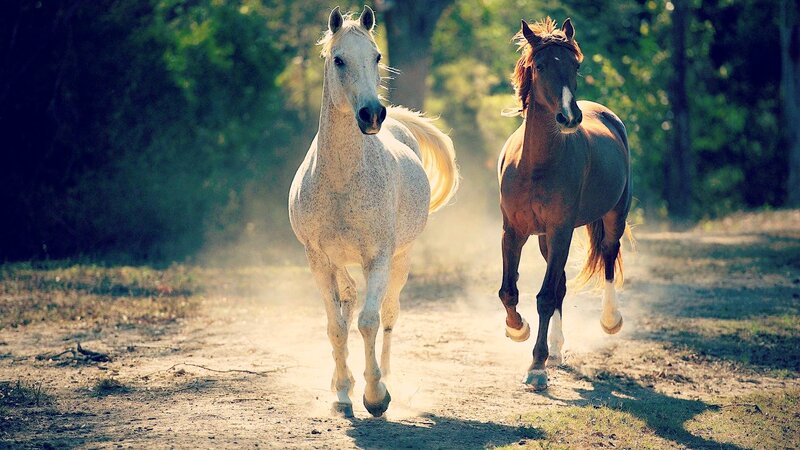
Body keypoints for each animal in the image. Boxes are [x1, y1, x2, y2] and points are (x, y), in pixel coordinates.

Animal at [288, 6, 459, 418]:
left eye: (377, 56)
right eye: (338, 59)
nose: (371, 115)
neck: (340, 181)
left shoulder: (378, 258)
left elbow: (369, 321)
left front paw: (375, 395)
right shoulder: (318, 260)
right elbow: (336, 326)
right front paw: (342, 393)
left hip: (401, 259)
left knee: (389, 314)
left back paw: (387, 377)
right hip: (339, 262)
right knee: (348, 302)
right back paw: (342, 382)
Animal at [497, 18, 632, 390]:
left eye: (576, 65)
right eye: (540, 66)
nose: (570, 117)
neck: (536, 164)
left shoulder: (560, 231)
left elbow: (543, 297)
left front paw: (536, 366)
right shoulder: (514, 232)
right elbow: (509, 291)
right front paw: (518, 329)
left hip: (613, 215)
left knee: (609, 256)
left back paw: (610, 320)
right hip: (545, 239)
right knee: (560, 285)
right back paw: (556, 349)